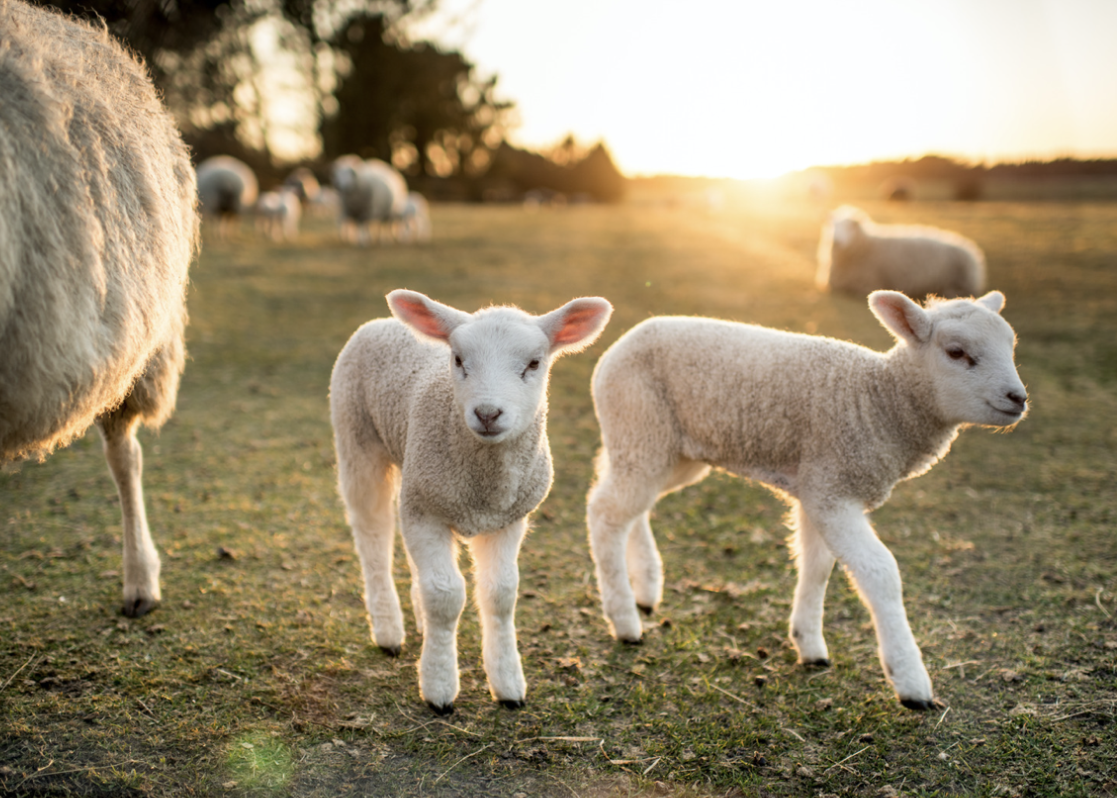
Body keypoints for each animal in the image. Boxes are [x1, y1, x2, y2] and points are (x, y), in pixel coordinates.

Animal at [328, 288, 612, 710]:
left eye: (534, 363)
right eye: (459, 360)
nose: (488, 413)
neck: (484, 487)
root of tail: (384, 321)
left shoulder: (507, 518)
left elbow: (500, 594)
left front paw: (508, 684)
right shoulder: (427, 510)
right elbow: (445, 596)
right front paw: (439, 686)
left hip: (414, 473)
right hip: (357, 439)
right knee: (373, 536)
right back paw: (388, 630)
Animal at [585, 288, 1027, 706]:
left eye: (1011, 345)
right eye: (956, 352)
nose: (1018, 398)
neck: (878, 400)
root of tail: (622, 342)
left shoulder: (819, 488)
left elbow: (817, 567)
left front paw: (809, 645)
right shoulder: (832, 490)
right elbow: (880, 573)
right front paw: (910, 681)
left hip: (667, 450)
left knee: (632, 505)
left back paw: (646, 589)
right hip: (640, 425)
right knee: (606, 512)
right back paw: (624, 620)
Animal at [813, 205, 987, 299]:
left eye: (849, 227)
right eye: (832, 225)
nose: (836, 240)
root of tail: (972, 250)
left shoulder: (868, 283)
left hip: (960, 281)